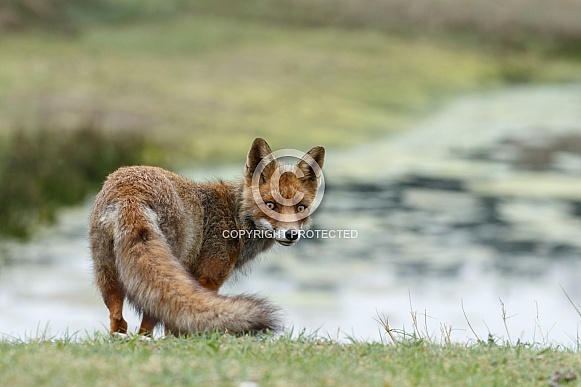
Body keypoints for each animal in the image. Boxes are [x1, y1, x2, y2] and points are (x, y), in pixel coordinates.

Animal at [88, 139, 324, 336]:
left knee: (118, 317)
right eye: (270, 205)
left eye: (301, 208)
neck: (235, 217)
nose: (291, 234)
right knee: (148, 321)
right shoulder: (208, 278)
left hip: (108, 273)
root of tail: (131, 194)